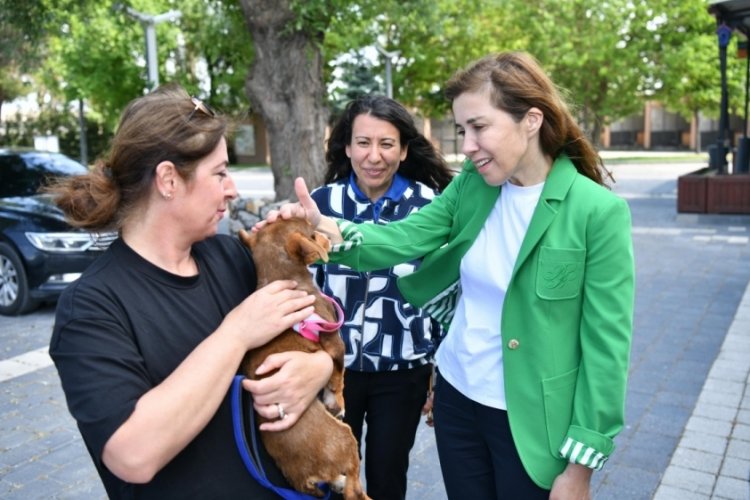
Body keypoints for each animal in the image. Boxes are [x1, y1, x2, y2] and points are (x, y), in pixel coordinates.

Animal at [239, 220, 372, 500]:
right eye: (313, 234)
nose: (327, 236)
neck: (279, 277)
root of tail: (301, 480)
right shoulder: (335, 341)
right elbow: (339, 376)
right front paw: (338, 402)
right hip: (346, 437)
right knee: (353, 487)